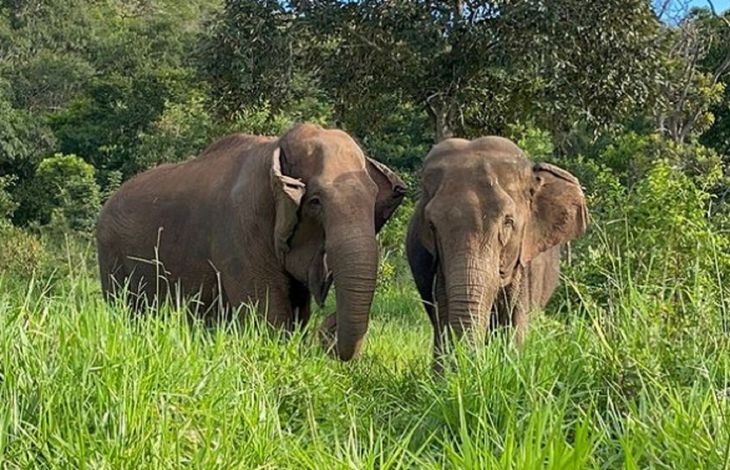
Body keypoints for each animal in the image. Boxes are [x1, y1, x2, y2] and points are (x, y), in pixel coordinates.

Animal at [96, 123, 406, 361]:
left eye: (373, 198)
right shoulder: (240, 229)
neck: (275, 150)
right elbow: (269, 314)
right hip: (111, 256)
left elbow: (298, 309)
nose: (330, 323)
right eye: (315, 201)